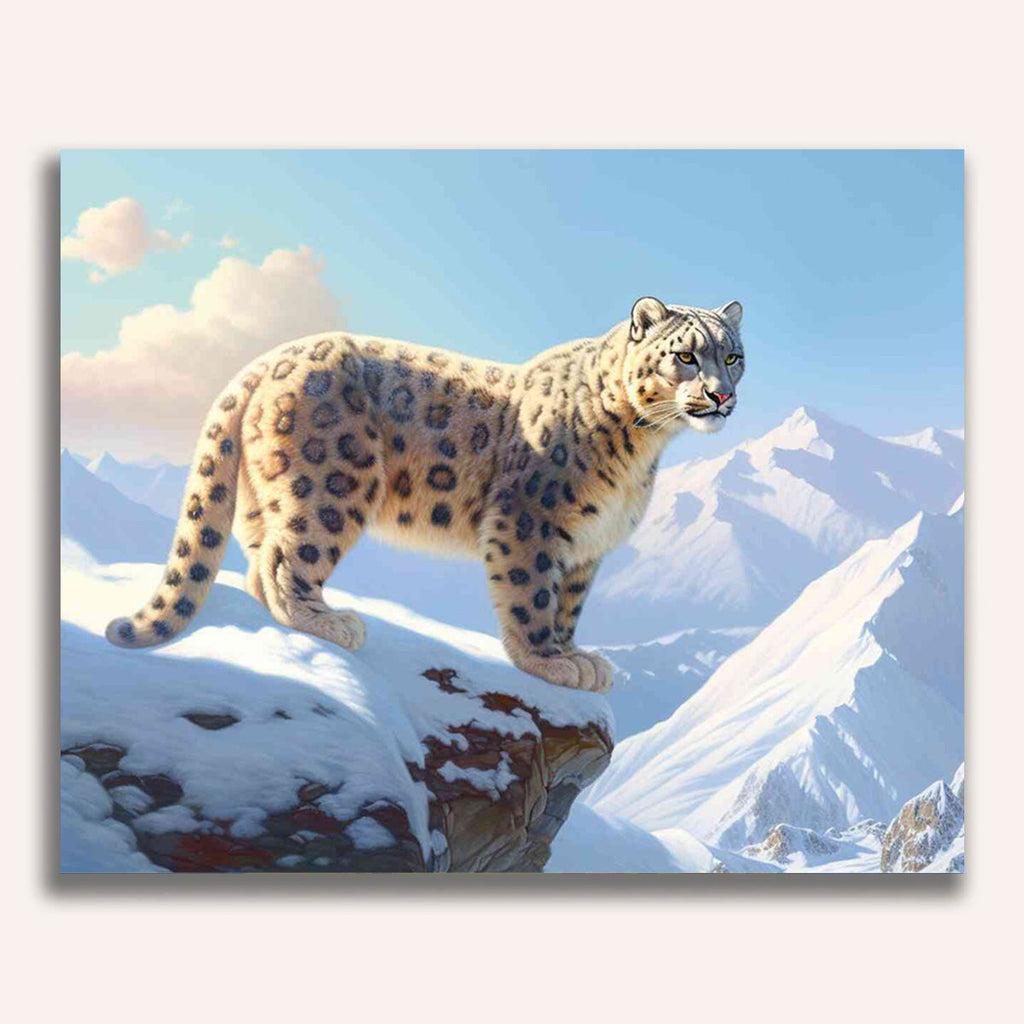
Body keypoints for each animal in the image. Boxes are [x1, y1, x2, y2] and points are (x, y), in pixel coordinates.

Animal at [105, 296, 746, 693]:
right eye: (685, 355)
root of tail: (266, 359)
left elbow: (569, 604)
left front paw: (576, 655)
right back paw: (330, 624)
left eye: (733, 355)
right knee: (287, 558)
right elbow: (533, 596)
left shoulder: (588, 547)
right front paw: (550, 662)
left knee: (257, 554)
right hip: (334, 483)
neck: (645, 448)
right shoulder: (530, 521)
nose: (721, 396)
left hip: (267, 492)